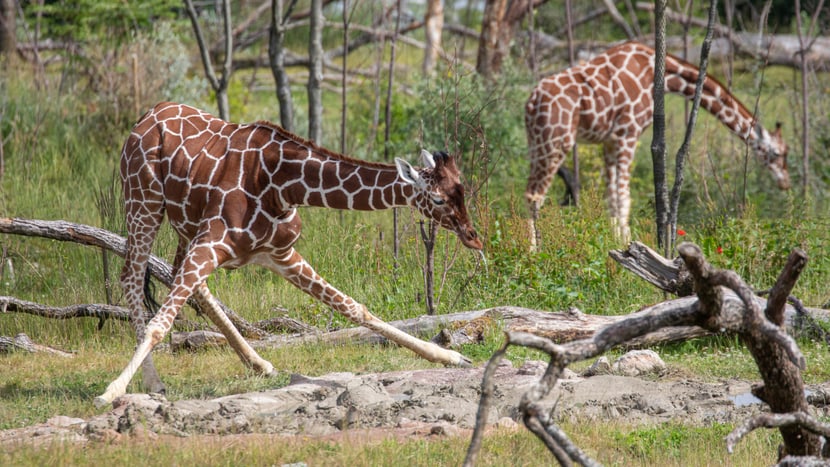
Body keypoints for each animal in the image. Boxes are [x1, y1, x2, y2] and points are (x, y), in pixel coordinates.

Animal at [96, 101, 488, 406]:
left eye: (462, 190)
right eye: (438, 199)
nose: (474, 238)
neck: (283, 186)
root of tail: (146, 116)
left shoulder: (278, 253)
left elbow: (353, 307)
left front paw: (451, 356)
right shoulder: (213, 241)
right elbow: (160, 324)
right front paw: (111, 391)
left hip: (184, 225)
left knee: (185, 280)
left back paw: (259, 364)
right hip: (143, 200)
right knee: (132, 276)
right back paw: (153, 382)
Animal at [528, 41, 792, 243]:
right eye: (779, 153)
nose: (785, 183)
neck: (661, 76)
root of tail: (531, 102)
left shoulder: (610, 141)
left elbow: (611, 196)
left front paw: (615, 245)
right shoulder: (628, 133)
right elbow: (624, 197)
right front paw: (627, 246)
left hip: (537, 142)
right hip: (556, 142)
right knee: (534, 195)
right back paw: (534, 252)